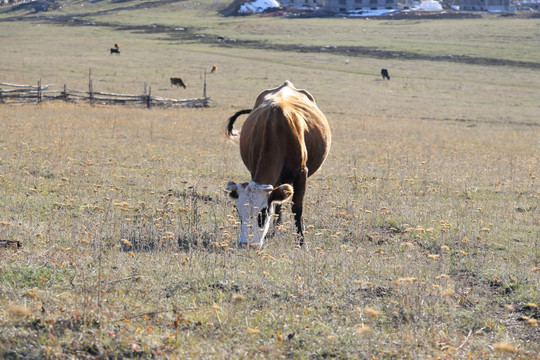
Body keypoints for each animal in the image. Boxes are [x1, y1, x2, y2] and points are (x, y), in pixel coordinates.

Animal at [226, 80, 332, 248]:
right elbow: (276, 205)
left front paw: (301, 242)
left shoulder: (302, 173)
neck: (278, 130)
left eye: (262, 213)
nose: (246, 244)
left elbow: (297, 207)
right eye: (239, 212)